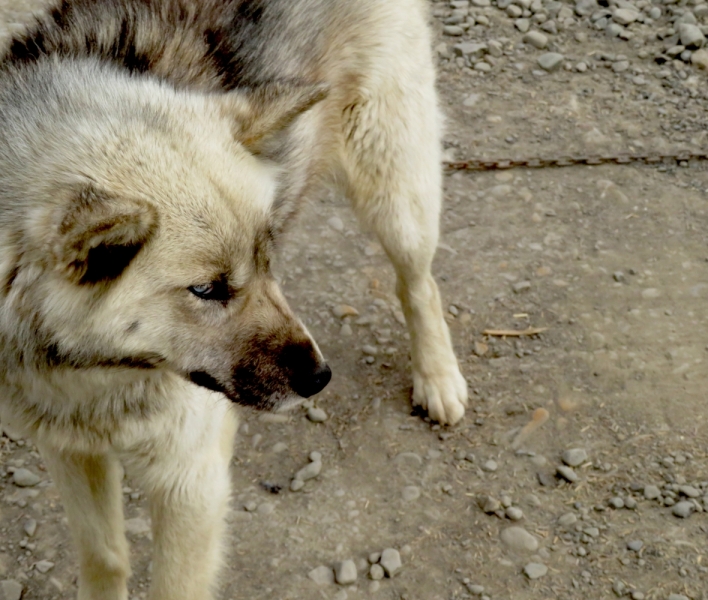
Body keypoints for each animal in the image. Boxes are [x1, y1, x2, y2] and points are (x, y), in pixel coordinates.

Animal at [1, 2, 470, 596]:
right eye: (207, 290)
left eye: (266, 259)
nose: (320, 378)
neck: (89, 372)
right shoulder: (68, 448)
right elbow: (105, 557)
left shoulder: (190, 482)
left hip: (395, 191)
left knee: (418, 283)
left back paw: (438, 378)